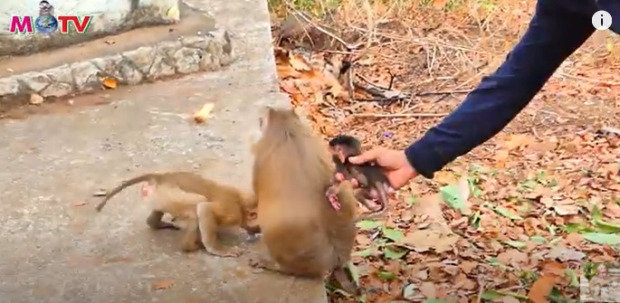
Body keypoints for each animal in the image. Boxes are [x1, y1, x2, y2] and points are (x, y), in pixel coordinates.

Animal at [94, 172, 260, 258]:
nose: (255, 234)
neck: (241, 204)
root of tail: (161, 177)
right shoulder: (232, 213)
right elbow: (204, 208)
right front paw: (218, 249)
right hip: (171, 195)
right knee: (197, 203)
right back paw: (189, 247)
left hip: (161, 196)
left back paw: (155, 223)